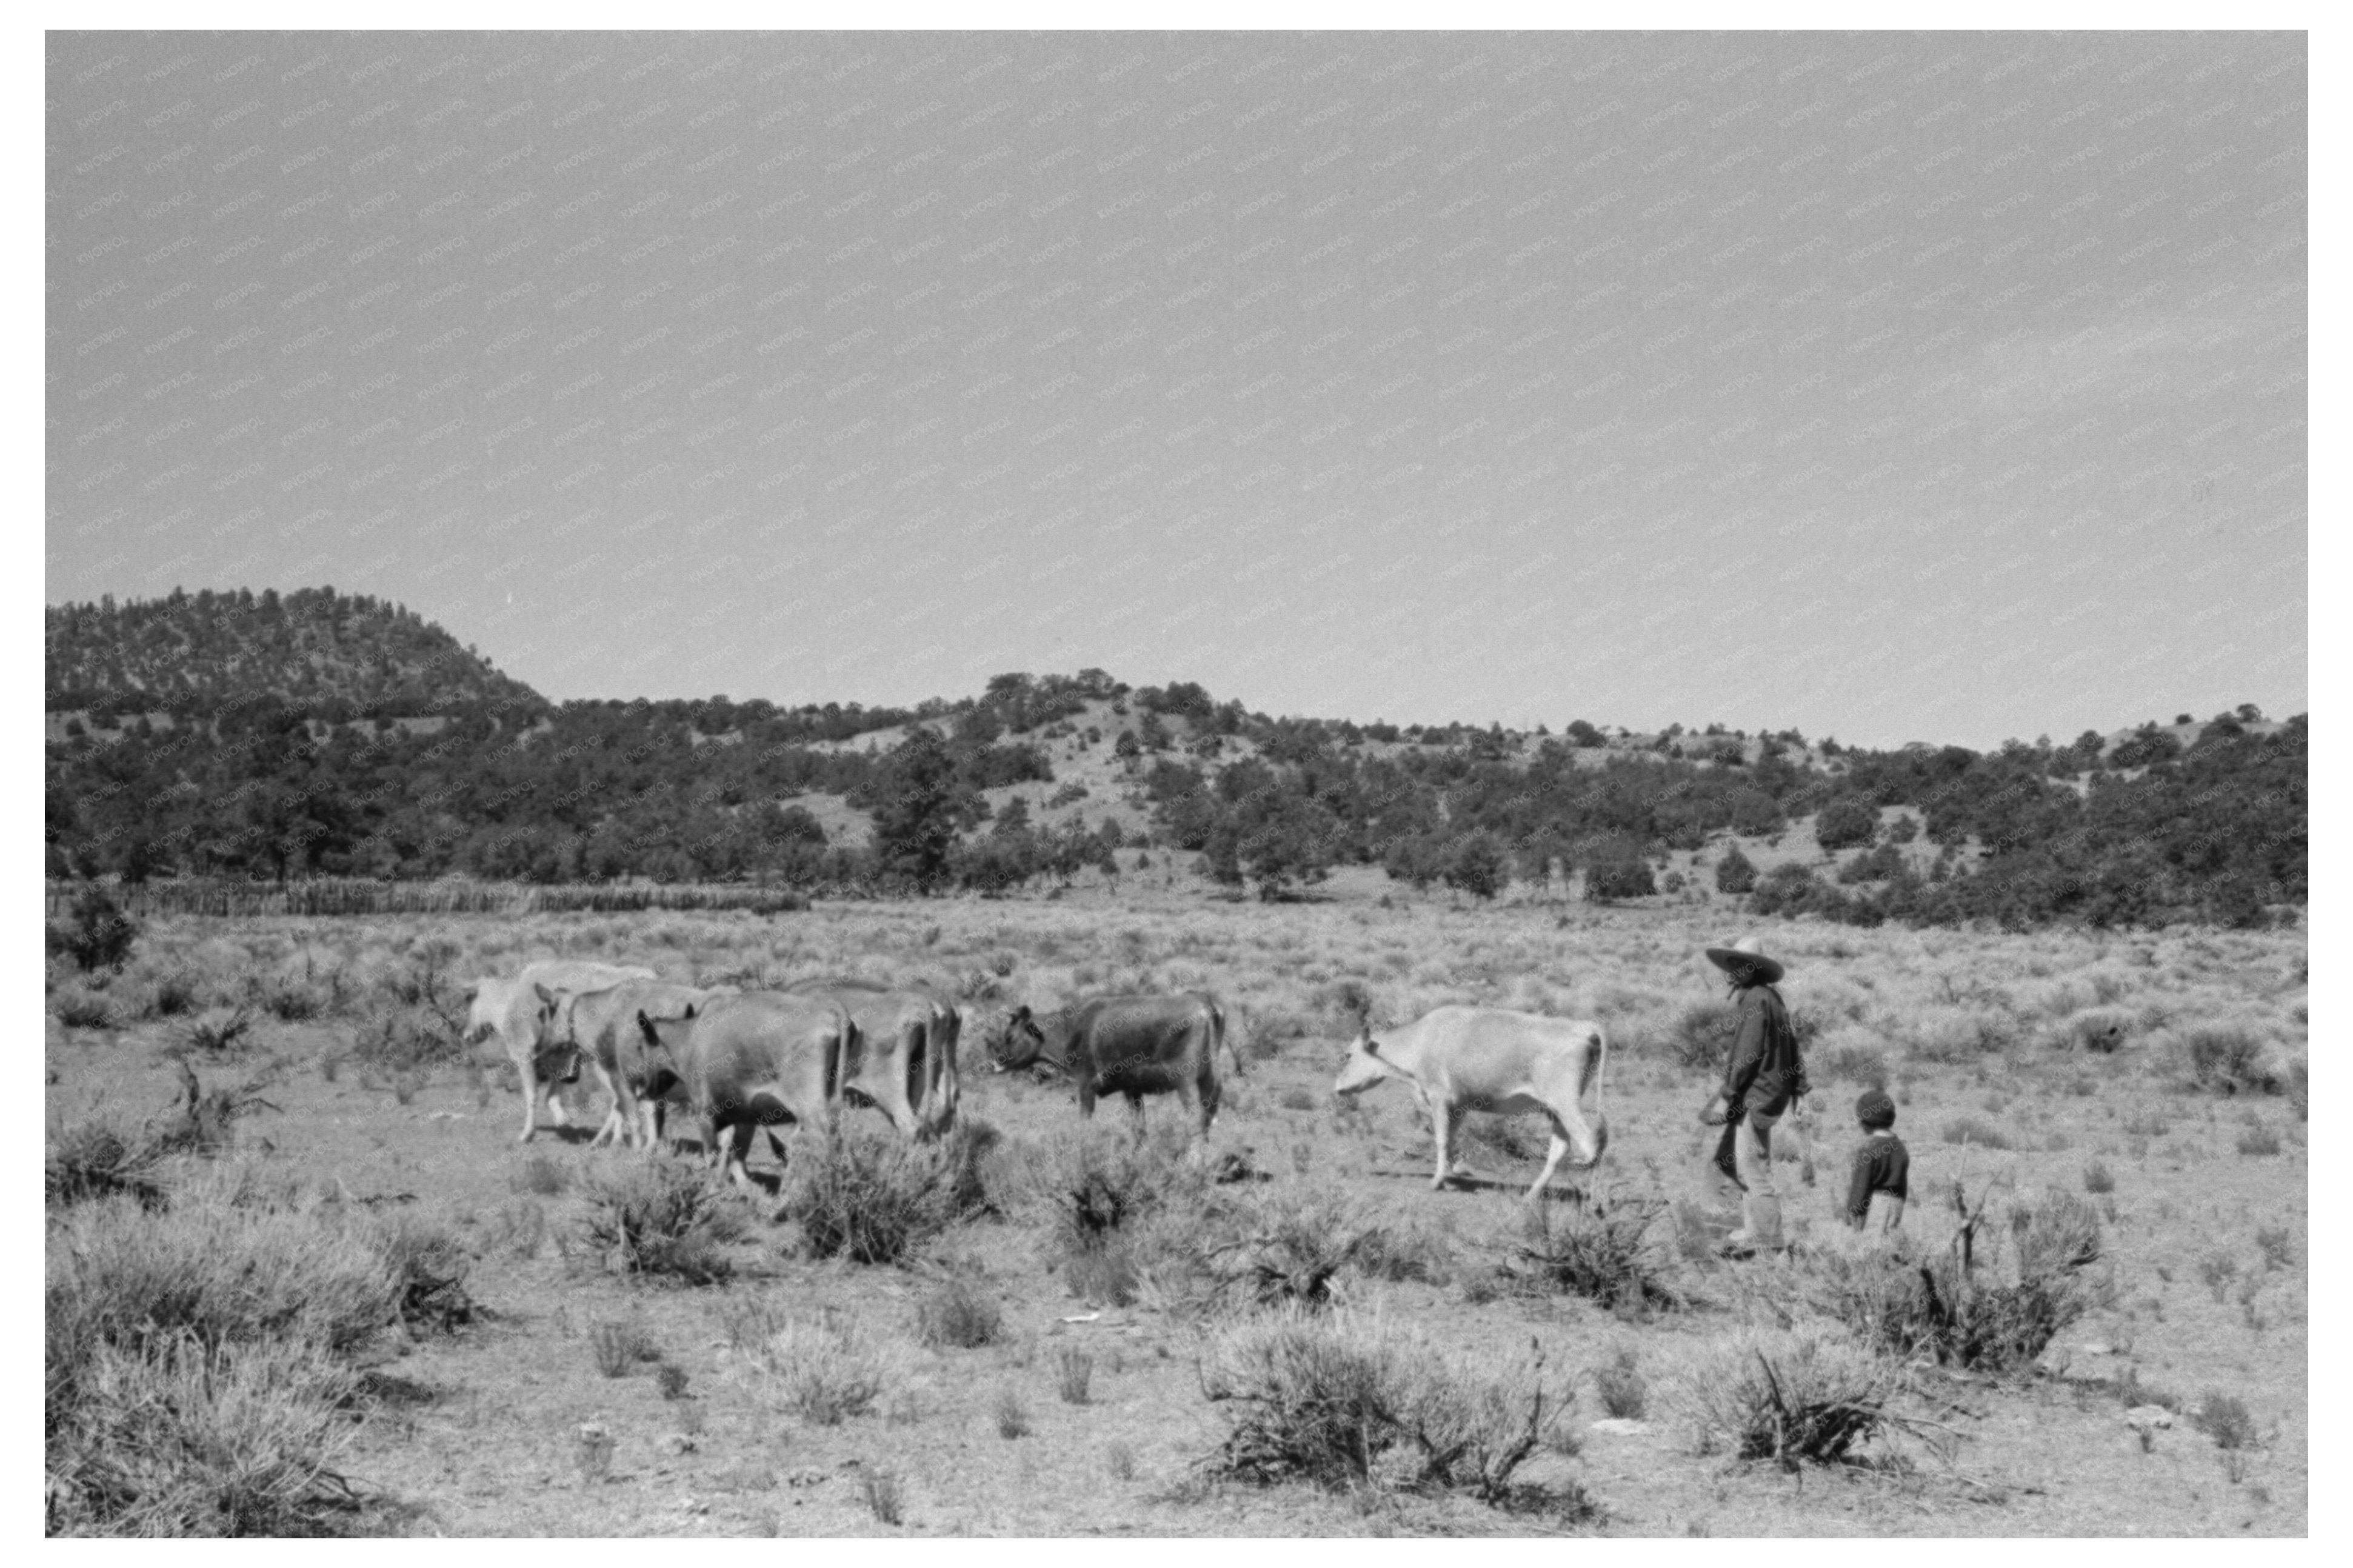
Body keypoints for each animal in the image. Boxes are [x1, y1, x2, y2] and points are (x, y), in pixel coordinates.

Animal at [463, 951, 658, 1135]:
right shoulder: (560, 1056)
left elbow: (532, 1094)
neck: (511, 999)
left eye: (471, 999)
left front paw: (527, 1133)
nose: (466, 1035)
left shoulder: (524, 1054)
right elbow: (553, 1092)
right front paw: (562, 1118)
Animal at [988, 989, 1233, 1135]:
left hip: (1185, 1082)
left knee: (1196, 1121)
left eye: (1009, 1037)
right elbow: (1139, 1129)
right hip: (1209, 1080)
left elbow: (1085, 1124)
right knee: (1208, 1118)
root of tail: (1201, 999)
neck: (1073, 1027)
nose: (995, 1064)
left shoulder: (1086, 1084)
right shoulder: (1132, 1089)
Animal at [1336, 1003, 1609, 1196]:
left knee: (1590, 1144)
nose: (1337, 1087)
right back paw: (1532, 1194)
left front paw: (1438, 1181)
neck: (1420, 1041)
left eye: (1348, 1055)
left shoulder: (1438, 1097)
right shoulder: (1460, 1107)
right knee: (1561, 1149)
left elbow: (1442, 1139)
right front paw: (1454, 1175)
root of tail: (1585, 1026)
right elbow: (1451, 1139)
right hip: (1555, 1110)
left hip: (1565, 1103)